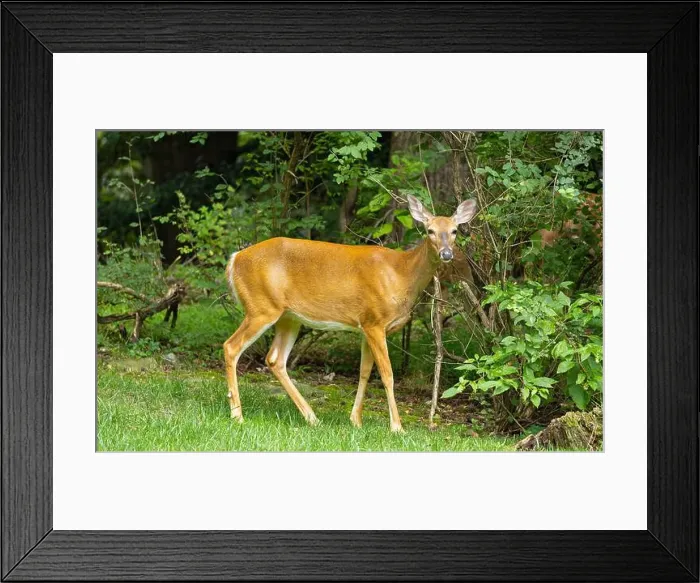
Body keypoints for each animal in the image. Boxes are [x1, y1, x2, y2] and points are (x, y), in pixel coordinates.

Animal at [223, 195, 477, 432]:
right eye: (430, 230)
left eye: (454, 231)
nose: (446, 254)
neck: (402, 275)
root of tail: (234, 259)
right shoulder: (375, 321)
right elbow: (387, 374)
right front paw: (397, 427)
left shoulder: (366, 324)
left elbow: (364, 371)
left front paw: (356, 420)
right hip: (261, 307)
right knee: (231, 346)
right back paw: (237, 415)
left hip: (288, 317)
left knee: (275, 359)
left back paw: (312, 417)